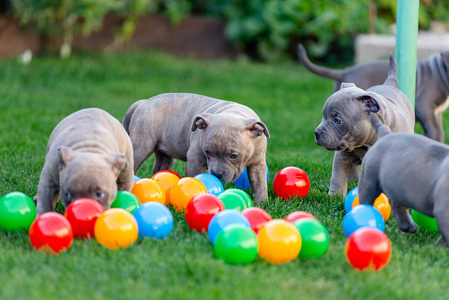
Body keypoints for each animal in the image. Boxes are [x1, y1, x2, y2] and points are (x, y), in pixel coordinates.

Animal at [121, 92, 270, 203]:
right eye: (207, 152)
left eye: (234, 156)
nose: (216, 174)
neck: (233, 113)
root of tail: (143, 102)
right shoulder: (195, 159)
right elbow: (194, 177)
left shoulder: (258, 165)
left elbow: (260, 185)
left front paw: (261, 203)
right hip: (142, 146)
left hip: (163, 151)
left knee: (161, 165)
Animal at [298, 44, 448, 143]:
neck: (438, 70)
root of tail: (345, 71)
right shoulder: (425, 107)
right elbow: (434, 131)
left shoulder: (437, 113)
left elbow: (439, 131)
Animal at [312, 55, 412, 198]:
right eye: (323, 116)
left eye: (337, 120)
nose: (317, 133)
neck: (366, 142)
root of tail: (387, 85)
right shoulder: (341, 157)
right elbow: (338, 177)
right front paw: (335, 196)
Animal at [358, 113, 448, 246]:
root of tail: (385, 133)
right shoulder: (443, 212)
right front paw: (439, 248)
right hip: (369, 182)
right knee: (366, 200)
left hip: (397, 187)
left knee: (396, 205)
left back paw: (408, 226)